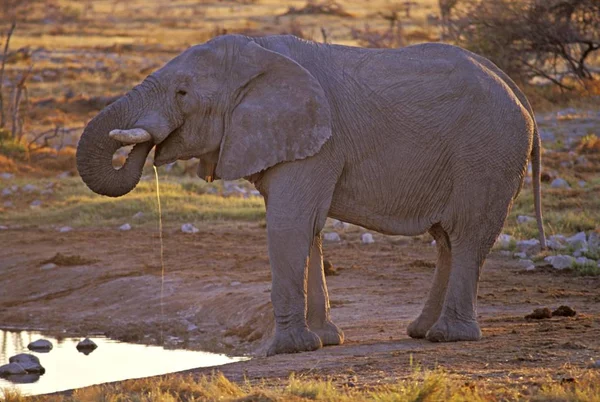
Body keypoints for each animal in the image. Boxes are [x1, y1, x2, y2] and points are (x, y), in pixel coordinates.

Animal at [77, 34, 548, 354]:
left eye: (182, 93)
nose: (147, 146)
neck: (260, 53)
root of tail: (518, 91)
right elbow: (311, 230)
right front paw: (324, 339)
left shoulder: (319, 141)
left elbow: (289, 226)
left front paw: (282, 350)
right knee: (446, 239)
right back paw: (421, 331)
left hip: (487, 152)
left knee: (467, 236)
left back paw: (448, 336)